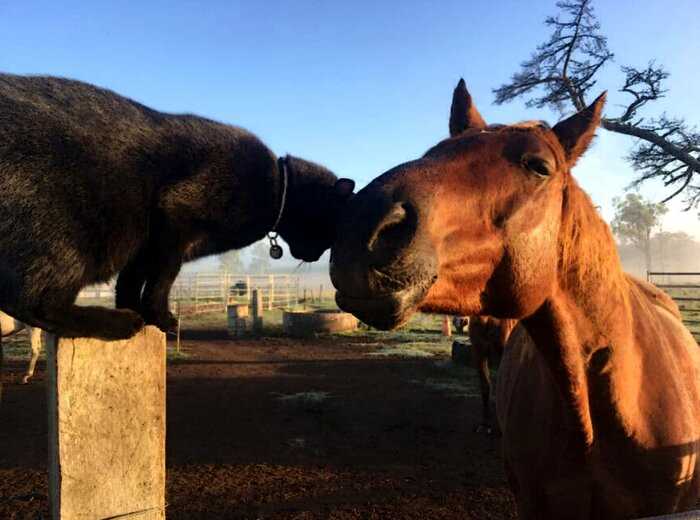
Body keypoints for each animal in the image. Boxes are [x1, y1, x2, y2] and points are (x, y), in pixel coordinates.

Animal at [0, 74, 352, 342]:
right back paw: (117, 323)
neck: (277, 185)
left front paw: (139, 311)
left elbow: (131, 280)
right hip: (69, 234)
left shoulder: (146, 244)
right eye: (329, 233)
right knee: (33, 300)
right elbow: (164, 277)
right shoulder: (175, 218)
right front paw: (158, 317)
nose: (316, 257)